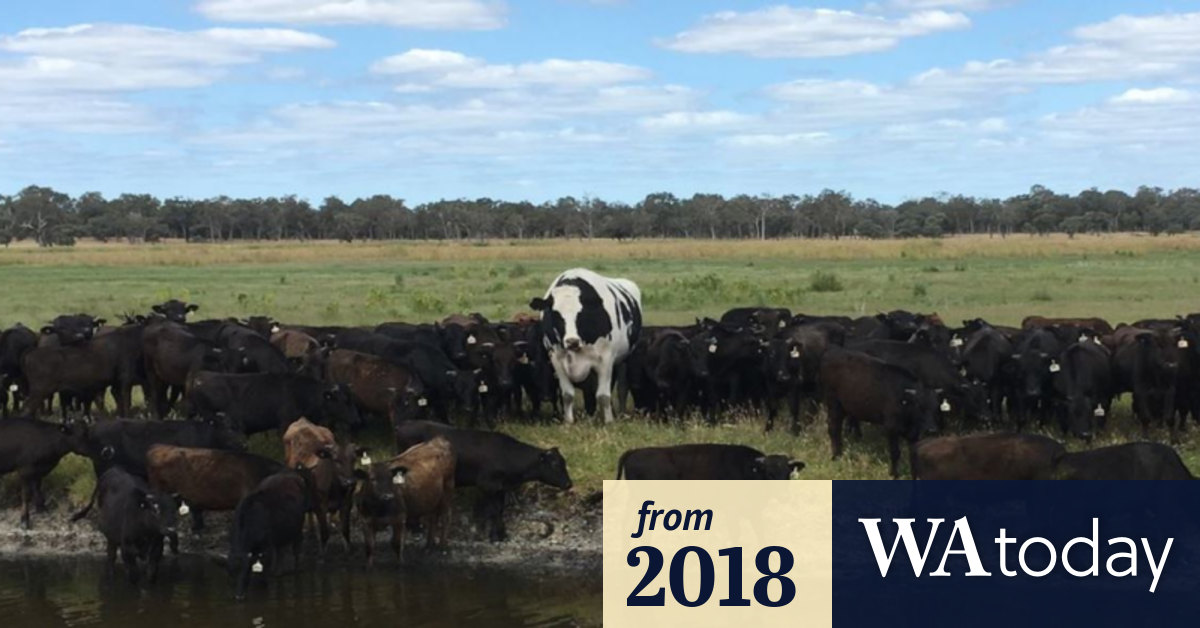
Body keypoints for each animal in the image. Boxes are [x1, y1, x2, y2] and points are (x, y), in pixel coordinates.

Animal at [229, 469, 325, 600]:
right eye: (231, 574)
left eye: (246, 570)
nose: (238, 596)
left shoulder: (267, 549)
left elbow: (263, 575)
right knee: (280, 552)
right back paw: (278, 572)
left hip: (298, 527)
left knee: (296, 548)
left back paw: (295, 568)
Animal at [393, 421, 571, 542]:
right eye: (555, 464)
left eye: (564, 462)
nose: (569, 484)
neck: (507, 454)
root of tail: (404, 424)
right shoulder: (487, 485)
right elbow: (494, 511)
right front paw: (496, 536)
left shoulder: (500, 488)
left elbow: (500, 510)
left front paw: (501, 534)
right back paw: (415, 527)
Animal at [529, 268, 642, 425]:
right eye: (556, 314)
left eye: (581, 313)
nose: (572, 341)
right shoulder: (556, 359)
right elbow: (567, 394)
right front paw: (568, 421)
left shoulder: (606, 359)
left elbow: (603, 395)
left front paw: (609, 421)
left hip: (623, 359)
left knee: (621, 388)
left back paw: (619, 413)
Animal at [821, 347, 939, 479]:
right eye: (919, 406)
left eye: (936, 407)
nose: (931, 430)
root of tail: (832, 354)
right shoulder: (891, 428)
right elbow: (895, 452)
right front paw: (894, 474)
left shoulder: (913, 434)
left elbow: (914, 455)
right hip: (834, 404)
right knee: (834, 429)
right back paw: (836, 456)